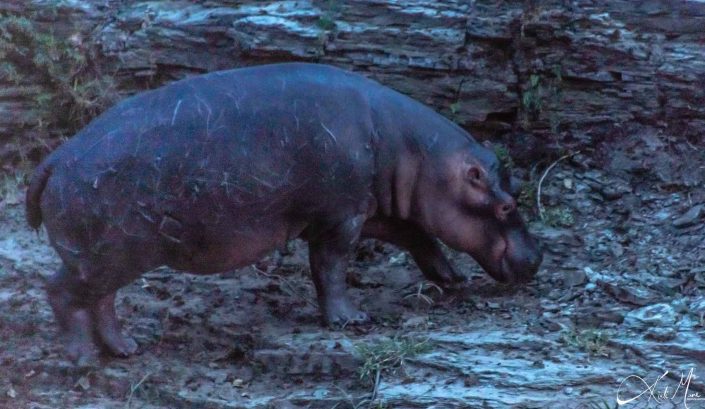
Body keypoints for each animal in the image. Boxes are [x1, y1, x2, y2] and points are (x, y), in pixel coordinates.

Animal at [24, 62, 540, 362]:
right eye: (507, 203)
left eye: (515, 189)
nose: (537, 258)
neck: (418, 155)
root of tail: (53, 160)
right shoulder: (341, 217)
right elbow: (330, 268)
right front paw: (351, 321)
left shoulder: (375, 208)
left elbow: (419, 237)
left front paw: (452, 279)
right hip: (105, 255)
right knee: (62, 292)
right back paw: (84, 359)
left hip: (113, 256)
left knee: (102, 300)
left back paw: (126, 350)